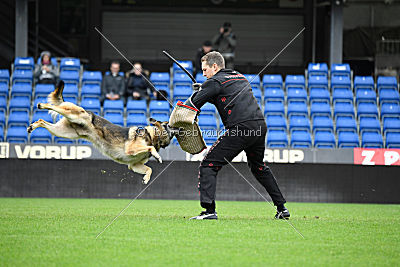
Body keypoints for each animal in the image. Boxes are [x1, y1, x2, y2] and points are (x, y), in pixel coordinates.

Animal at [27, 81, 179, 185]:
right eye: (169, 125)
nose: (180, 128)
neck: (152, 135)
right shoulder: (131, 149)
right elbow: (151, 148)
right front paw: (157, 156)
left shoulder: (134, 165)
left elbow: (149, 169)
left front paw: (146, 179)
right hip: (74, 114)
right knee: (54, 107)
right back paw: (42, 105)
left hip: (63, 132)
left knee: (42, 121)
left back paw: (33, 126)